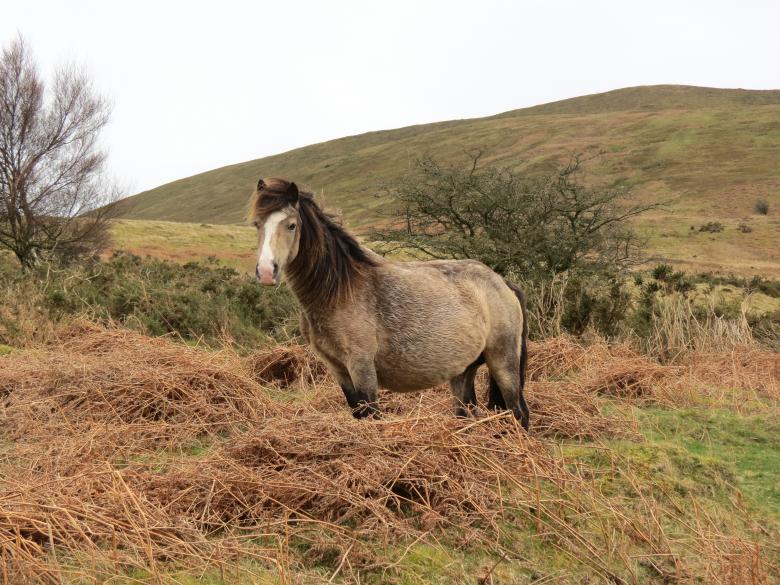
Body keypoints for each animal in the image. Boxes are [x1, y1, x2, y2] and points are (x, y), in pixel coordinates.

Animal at [248, 177, 530, 430]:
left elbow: (372, 417)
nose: (266, 272)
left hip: (503, 362)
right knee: (467, 414)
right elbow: (359, 415)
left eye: (291, 225)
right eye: (257, 224)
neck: (339, 290)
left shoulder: (361, 366)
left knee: (519, 412)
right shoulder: (338, 369)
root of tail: (502, 283)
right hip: (463, 371)